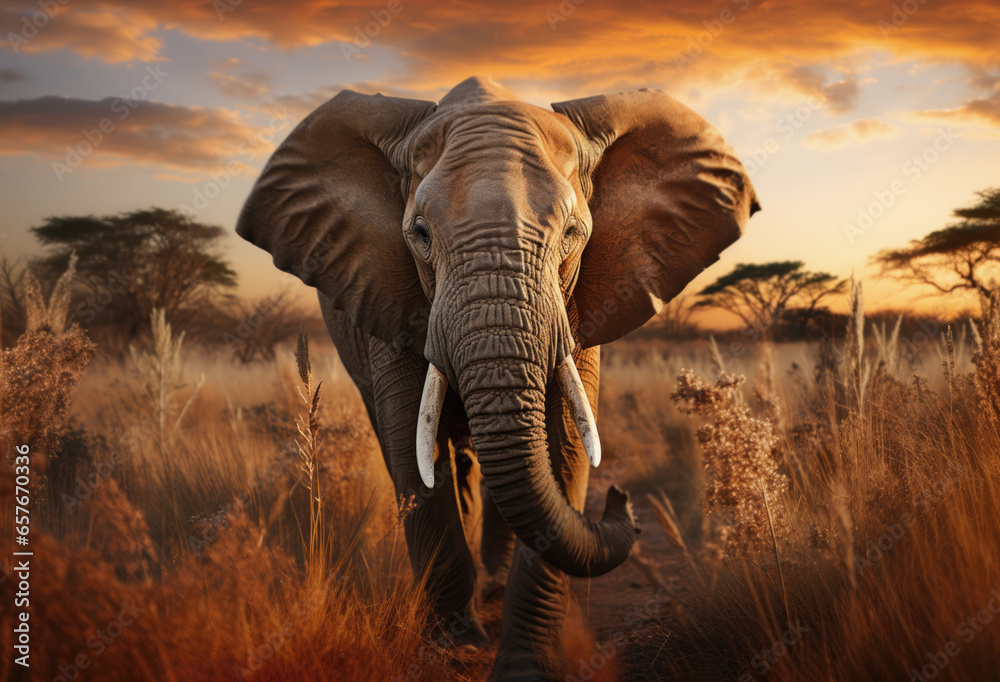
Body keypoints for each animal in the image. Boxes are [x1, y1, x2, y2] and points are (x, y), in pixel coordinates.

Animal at [236, 76, 759, 681]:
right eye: (419, 234)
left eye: (574, 232)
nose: (622, 498)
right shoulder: (386, 288)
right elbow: (412, 451)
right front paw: (454, 648)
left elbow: (566, 450)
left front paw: (524, 666)